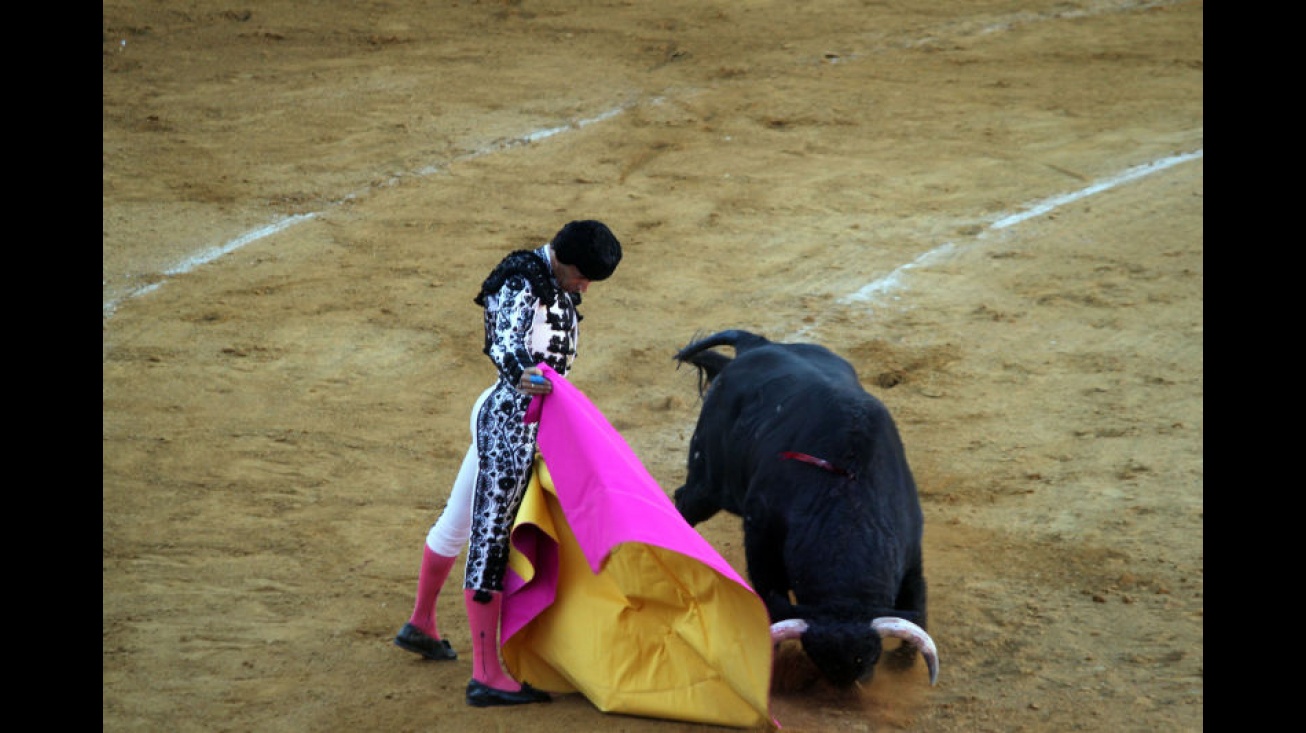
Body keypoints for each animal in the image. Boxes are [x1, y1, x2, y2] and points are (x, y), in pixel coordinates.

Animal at [673, 329, 940, 689]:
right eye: (816, 655)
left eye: (871, 655)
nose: (846, 685)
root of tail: (755, 344)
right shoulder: (760, 540)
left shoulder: (912, 554)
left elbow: (917, 605)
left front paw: (902, 664)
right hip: (708, 480)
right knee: (685, 502)